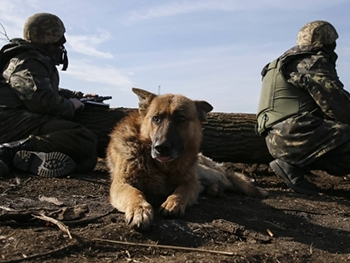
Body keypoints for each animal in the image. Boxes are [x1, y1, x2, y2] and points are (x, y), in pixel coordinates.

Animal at [105, 88, 266, 231]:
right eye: (156, 119)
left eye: (180, 118)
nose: (160, 147)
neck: (162, 167)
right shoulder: (121, 183)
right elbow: (134, 192)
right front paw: (140, 210)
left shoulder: (190, 181)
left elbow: (182, 190)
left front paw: (173, 203)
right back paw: (214, 189)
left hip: (207, 173)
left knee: (228, 179)